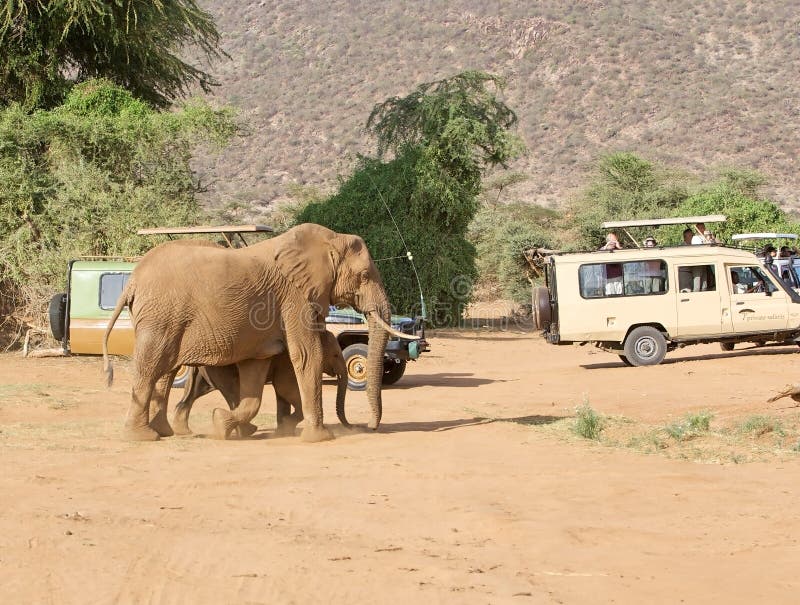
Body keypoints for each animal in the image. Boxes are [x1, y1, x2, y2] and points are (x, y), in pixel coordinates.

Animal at [171, 330, 349, 437]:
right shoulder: (286, 362)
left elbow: (282, 394)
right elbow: (285, 388)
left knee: (194, 392)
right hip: (220, 369)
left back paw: (184, 431)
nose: (352, 426)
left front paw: (283, 431)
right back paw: (247, 431)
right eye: (335, 355)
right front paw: (286, 427)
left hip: (205, 372)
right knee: (233, 390)